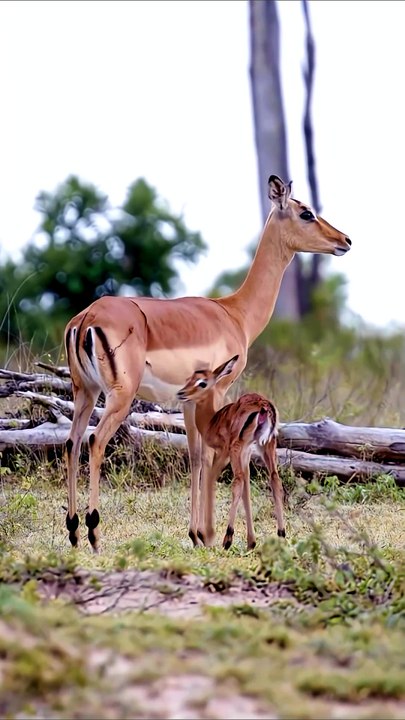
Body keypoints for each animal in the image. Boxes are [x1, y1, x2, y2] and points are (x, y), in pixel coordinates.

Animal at [177, 354, 283, 550]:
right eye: (190, 378)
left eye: (202, 383)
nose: (181, 393)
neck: (211, 420)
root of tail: (263, 405)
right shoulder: (246, 454)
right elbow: (247, 489)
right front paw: (251, 541)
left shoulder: (224, 452)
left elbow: (210, 478)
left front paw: (205, 534)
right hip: (267, 446)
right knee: (274, 478)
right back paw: (281, 535)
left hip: (237, 449)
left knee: (237, 481)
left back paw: (227, 538)